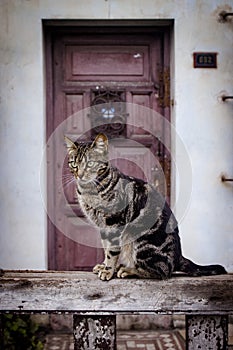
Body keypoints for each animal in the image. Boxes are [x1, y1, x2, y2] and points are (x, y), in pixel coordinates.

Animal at [64, 133, 227, 280]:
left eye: (90, 163)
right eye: (74, 164)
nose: (79, 174)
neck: (89, 190)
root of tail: (179, 257)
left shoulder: (113, 222)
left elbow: (112, 251)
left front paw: (108, 270)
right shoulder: (103, 226)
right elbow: (106, 247)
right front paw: (104, 266)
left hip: (139, 238)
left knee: (163, 271)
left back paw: (128, 270)